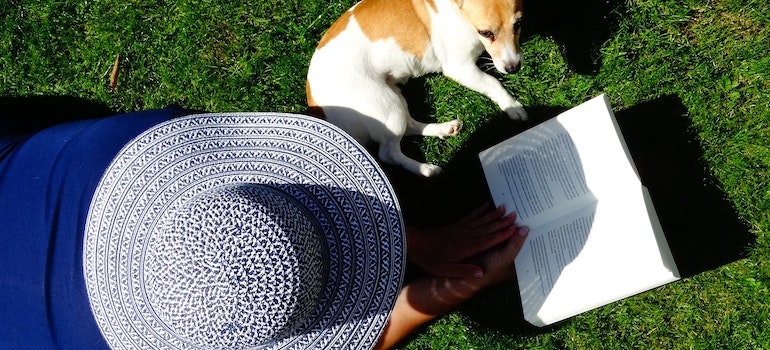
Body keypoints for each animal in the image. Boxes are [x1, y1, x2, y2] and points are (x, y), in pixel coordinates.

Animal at [308, 0, 524, 176]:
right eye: (486, 33)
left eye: (518, 24)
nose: (514, 68)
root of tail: (314, 103)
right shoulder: (460, 68)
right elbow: (493, 83)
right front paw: (512, 106)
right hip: (386, 107)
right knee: (388, 153)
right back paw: (426, 169)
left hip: (394, 97)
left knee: (410, 126)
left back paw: (444, 128)